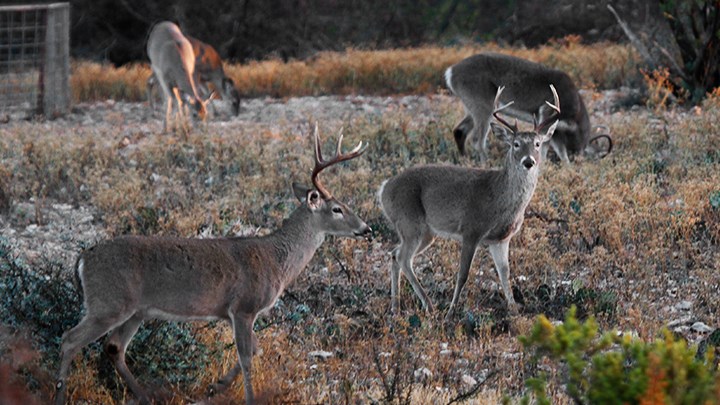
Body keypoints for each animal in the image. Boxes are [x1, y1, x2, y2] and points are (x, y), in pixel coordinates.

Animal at [52, 124, 372, 402]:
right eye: (337, 209)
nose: (366, 228)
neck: (277, 259)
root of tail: (83, 258)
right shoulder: (244, 307)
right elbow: (247, 356)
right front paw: (247, 398)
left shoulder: (232, 312)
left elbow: (255, 350)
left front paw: (215, 386)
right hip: (109, 303)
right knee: (69, 339)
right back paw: (60, 395)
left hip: (135, 311)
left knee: (113, 346)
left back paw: (145, 396)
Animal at [380, 84, 560, 318]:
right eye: (516, 144)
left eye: (538, 144)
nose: (528, 161)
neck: (499, 198)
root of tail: (383, 189)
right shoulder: (471, 229)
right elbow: (463, 275)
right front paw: (450, 312)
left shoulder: (501, 239)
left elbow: (505, 274)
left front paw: (514, 311)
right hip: (409, 222)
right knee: (403, 258)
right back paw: (429, 305)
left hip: (425, 233)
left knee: (395, 254)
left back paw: (396, 307)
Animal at [448, 52, 612, 163]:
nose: (580, 161)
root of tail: (450, 73)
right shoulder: (546, 113)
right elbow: (546, 147)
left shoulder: (557, 130)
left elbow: (561, 152)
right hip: (482, 105)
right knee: (477, 139)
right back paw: (484, 164)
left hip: (472, 107)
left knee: (459, 130)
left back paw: (463, 160)